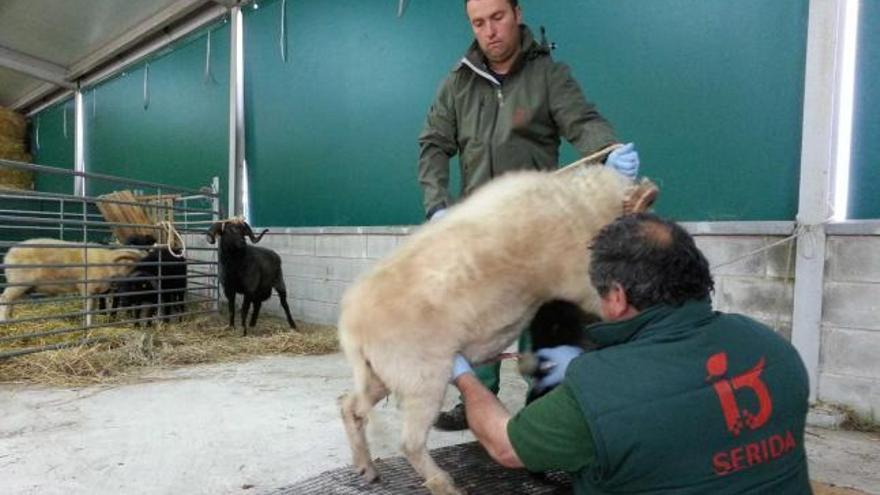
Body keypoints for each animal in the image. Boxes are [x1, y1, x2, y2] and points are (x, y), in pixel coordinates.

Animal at [0, 239, 144, 322]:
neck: (107, 263)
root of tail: (8, 255)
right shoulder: (87, 290)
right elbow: (89, 310)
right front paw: (88, 326)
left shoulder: (96, 292)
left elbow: (93, 310)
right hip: (18, 282)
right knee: (4, 298)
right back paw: (4, 320)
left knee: (11, 301)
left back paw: (11, 318)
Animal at [340, 165, 656, 494]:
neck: (582, 206)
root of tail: (351, 325)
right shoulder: (581, 282)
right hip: (421, 377)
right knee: (409, 442)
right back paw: (447, 486)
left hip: (384, 373)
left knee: (349, 406)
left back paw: (368, 471)